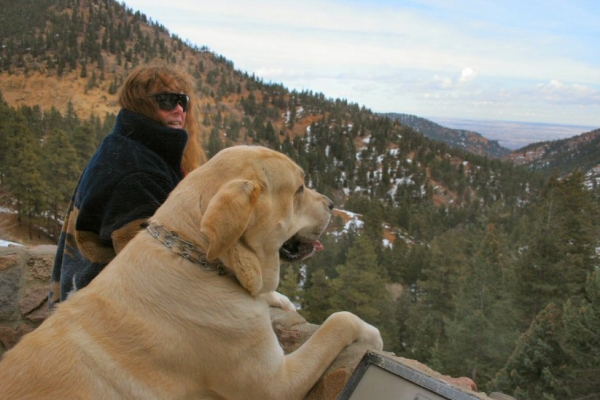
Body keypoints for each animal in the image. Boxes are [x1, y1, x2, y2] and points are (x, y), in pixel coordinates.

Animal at [0, 145, 382, 398]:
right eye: (299, 189)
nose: (332, 205)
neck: (195, 255)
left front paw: (280, 299)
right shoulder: (274, 383)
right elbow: (338, 322)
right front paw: (371, 333)